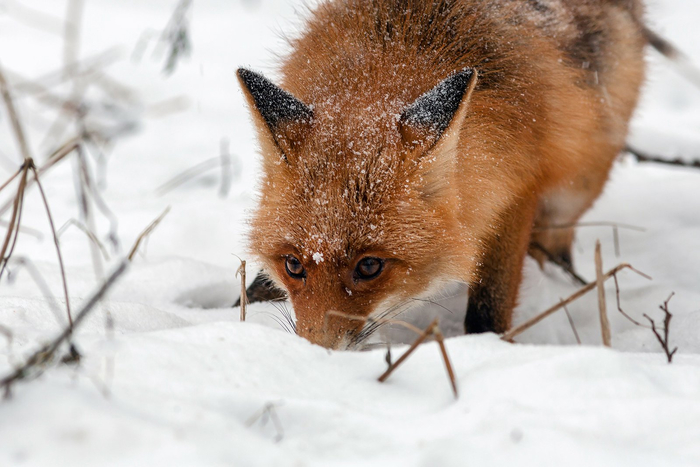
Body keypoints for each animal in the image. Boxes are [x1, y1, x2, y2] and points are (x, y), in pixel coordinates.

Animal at [239, 0, 644, 350]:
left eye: (369, 266)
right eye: (293, 265)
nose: (317, 352)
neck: (398, 50)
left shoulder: (515, 189)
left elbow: (489, 307)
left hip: (575, 188)